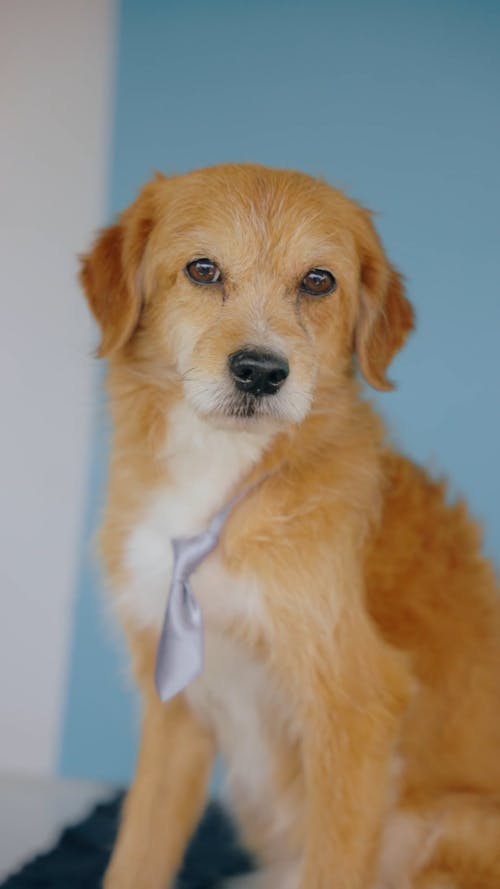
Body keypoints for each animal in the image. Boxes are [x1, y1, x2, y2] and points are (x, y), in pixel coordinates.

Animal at [80, 161, 500, 888]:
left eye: (318, 280)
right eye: (202, 269)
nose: (260, 371)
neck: (222, 482)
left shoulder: (355, 706)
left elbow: (334, 862)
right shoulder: (176, 705)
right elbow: (140, 848)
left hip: (446, 826)